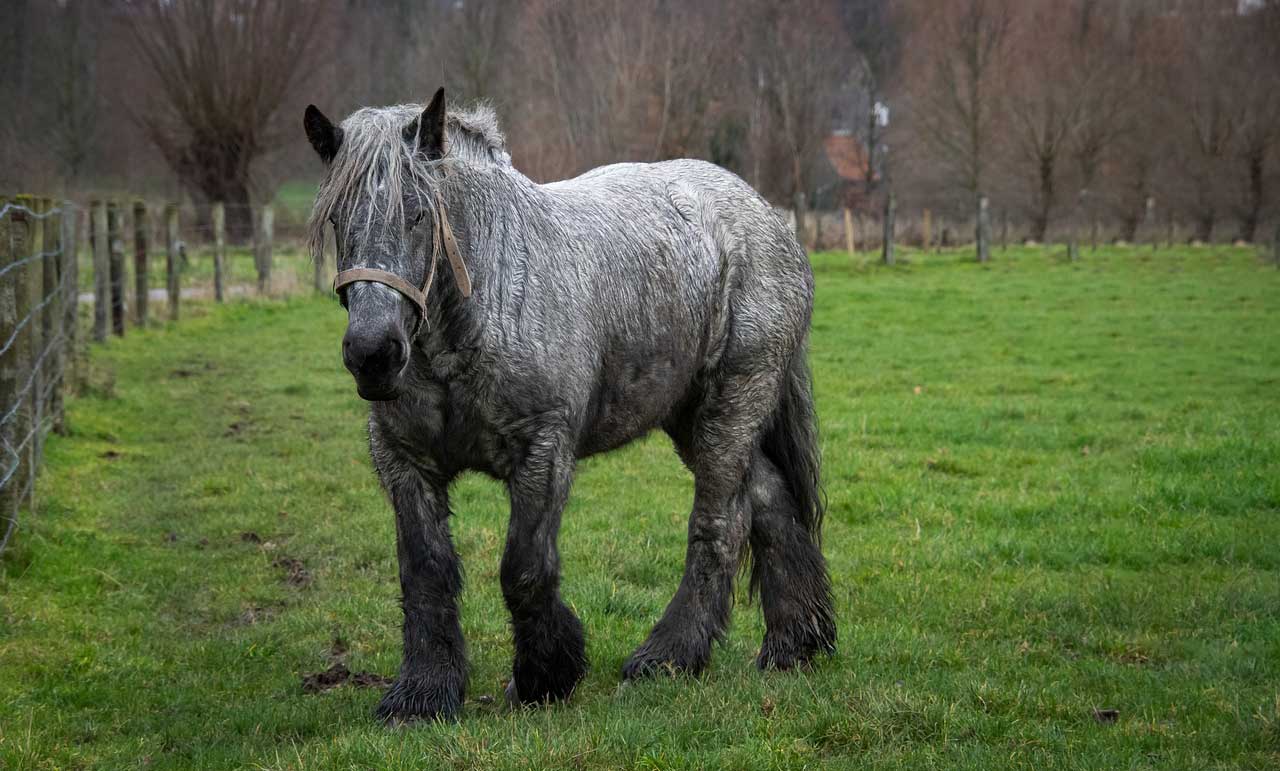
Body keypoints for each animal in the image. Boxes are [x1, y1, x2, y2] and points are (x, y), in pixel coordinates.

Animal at [303, 88, 835, 723]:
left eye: (419, 213)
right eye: (338, 219)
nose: (373, 353)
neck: (489, 299)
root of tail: (764, 214)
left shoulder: (544, 452)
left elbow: (524, 568)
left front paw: (544, 676)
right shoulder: (404, 462)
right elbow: (425, 570)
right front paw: (423, 692)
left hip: (732, 406)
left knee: (721, 523)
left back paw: (669, 657)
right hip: (693, 417)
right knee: (771, 502)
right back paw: (795, 643)